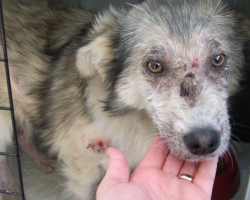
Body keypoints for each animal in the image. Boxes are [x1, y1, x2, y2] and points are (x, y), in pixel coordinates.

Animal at [0, 0, 249, 199]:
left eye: (218, 59)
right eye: (154, 65)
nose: (204, 142)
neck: (132, 118)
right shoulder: (82, 168)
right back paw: (11, 189)